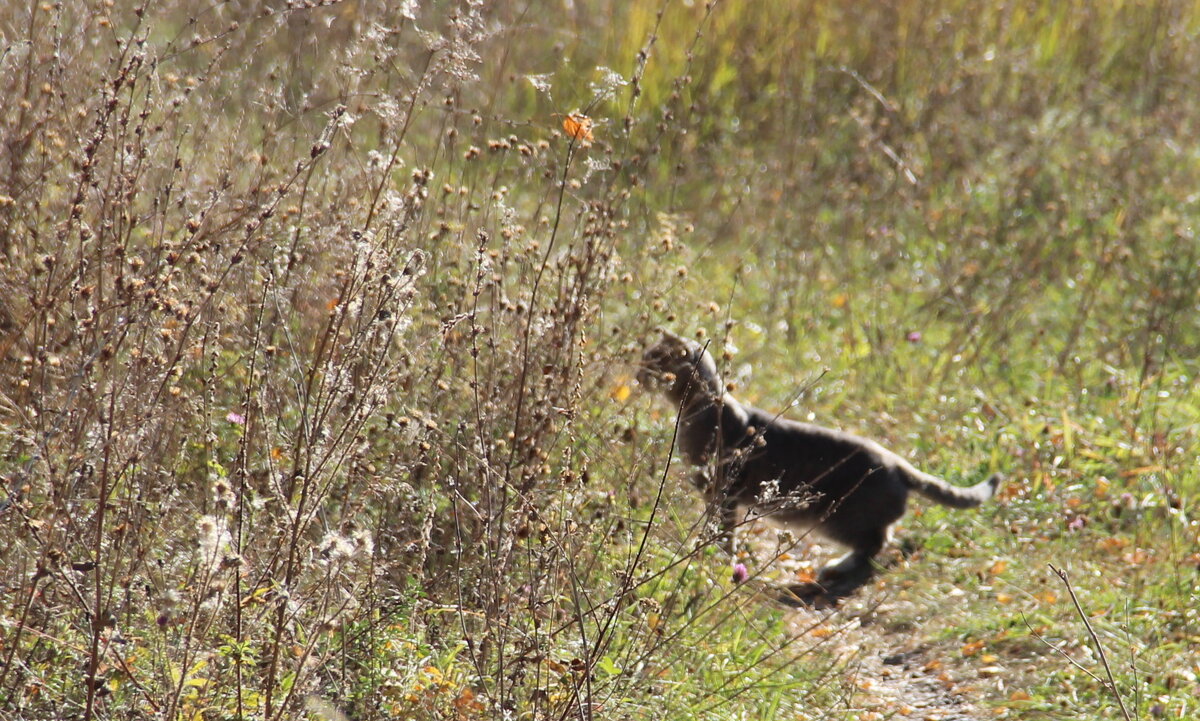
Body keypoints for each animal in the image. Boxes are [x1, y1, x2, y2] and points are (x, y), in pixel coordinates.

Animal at [638, 328, 1003, 604]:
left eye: (653, 360)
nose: (637, 373)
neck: (694, 410)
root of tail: (896, 461)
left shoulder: (723, 494)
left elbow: (722, 534)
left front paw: (714, 557)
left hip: (838, 518)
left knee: (876, 545)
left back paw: (837, 568)